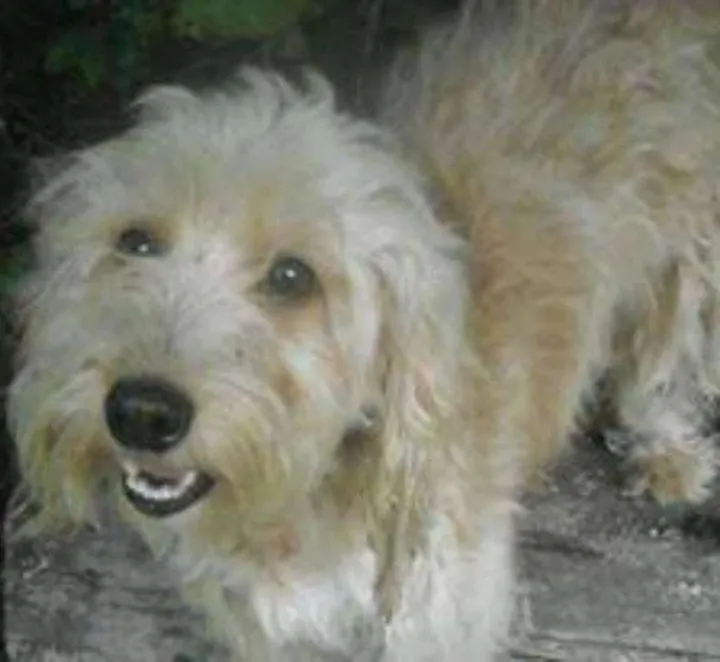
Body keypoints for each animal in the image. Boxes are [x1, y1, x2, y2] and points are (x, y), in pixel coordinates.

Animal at [8, 1, 720, 660]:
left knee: (667, 365)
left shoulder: (436, 612)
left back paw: (667, 453)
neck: (312, 491)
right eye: (136, 241)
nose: (143, 411)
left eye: (293, 276)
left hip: (691, 262)